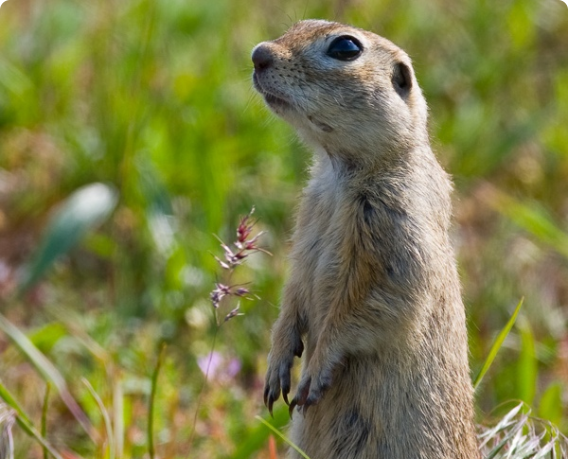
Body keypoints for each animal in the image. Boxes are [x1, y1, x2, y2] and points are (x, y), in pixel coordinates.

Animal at [253, 20, 480, 459]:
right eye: (297, 25)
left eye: (346, 47)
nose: (258, 54)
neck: (338, 171)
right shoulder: (307, 226)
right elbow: (293, 294)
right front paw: (276, 366)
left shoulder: (399, 230)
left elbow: (370, 306)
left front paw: (313, 373)